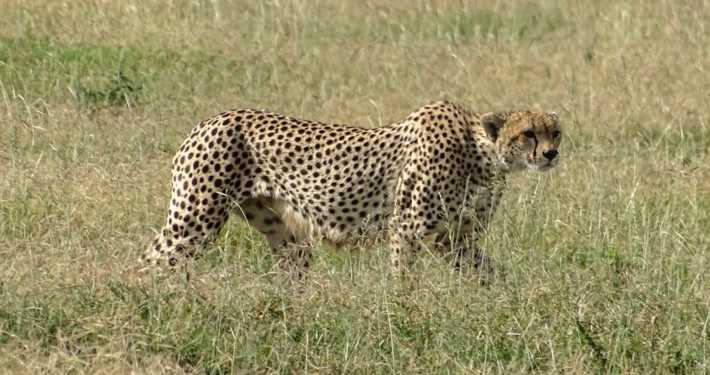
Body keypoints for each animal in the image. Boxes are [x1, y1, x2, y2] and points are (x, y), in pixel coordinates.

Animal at [140, 101, 560, 278]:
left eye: (554, 132)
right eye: (528, 133)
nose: (552, 153)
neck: (482, 155)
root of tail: (208, 120)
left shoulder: (456, 241)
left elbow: (490, 275)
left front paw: (510, 307)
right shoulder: (405, 228)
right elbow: (404, 279)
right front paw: (405, 317)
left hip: (286, 237)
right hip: (195, 221)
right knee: (150, 263)